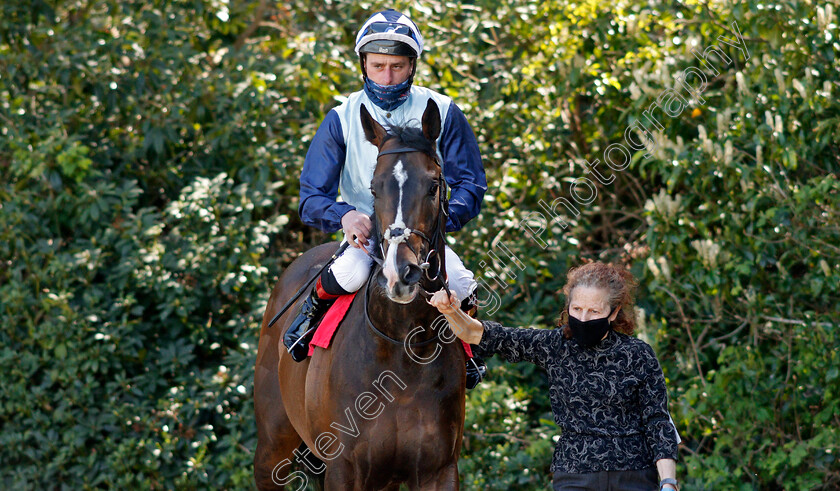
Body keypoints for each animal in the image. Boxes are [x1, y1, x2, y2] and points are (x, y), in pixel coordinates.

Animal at [253, 98, 470, 490]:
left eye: (433, 186)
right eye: (374, 188)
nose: (401, 272)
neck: (402, 345)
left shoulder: (439, 469)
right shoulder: (344, 468)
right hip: (273, 447)